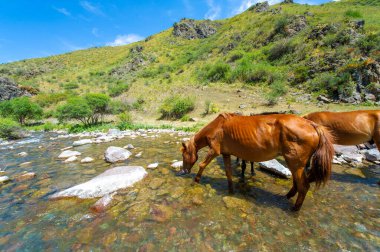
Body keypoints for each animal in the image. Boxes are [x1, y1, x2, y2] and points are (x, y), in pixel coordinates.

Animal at [180, 112, 334, 211]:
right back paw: (287, 197)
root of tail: (311, 124)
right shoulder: (226, 154)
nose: (183, 171)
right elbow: (229, 172)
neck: (218, 126)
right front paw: (231, 190)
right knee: (298, 184)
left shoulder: (214, 151)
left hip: (295, 163)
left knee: (304, 186)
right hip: (296, 164)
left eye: (183, 154)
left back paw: (295, 209)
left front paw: (195, 181)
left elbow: (202, 165)